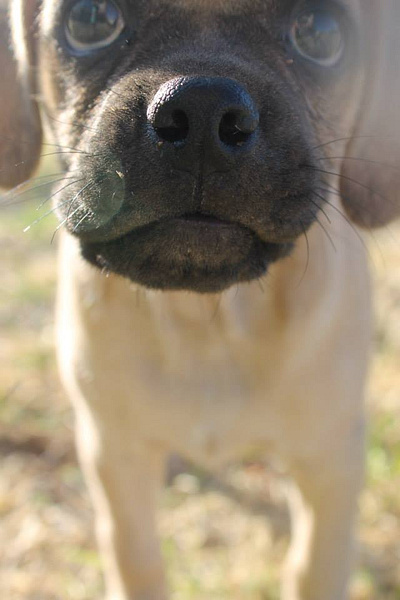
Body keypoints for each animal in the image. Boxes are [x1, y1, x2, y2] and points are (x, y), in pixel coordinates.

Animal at [0, 1, 400, 600]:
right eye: (91, 20)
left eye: (320, 33)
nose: (202, 110)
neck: (209, 320)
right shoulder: (113, 455)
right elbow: (138, 562)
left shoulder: (330, 461)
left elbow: (312, 568)